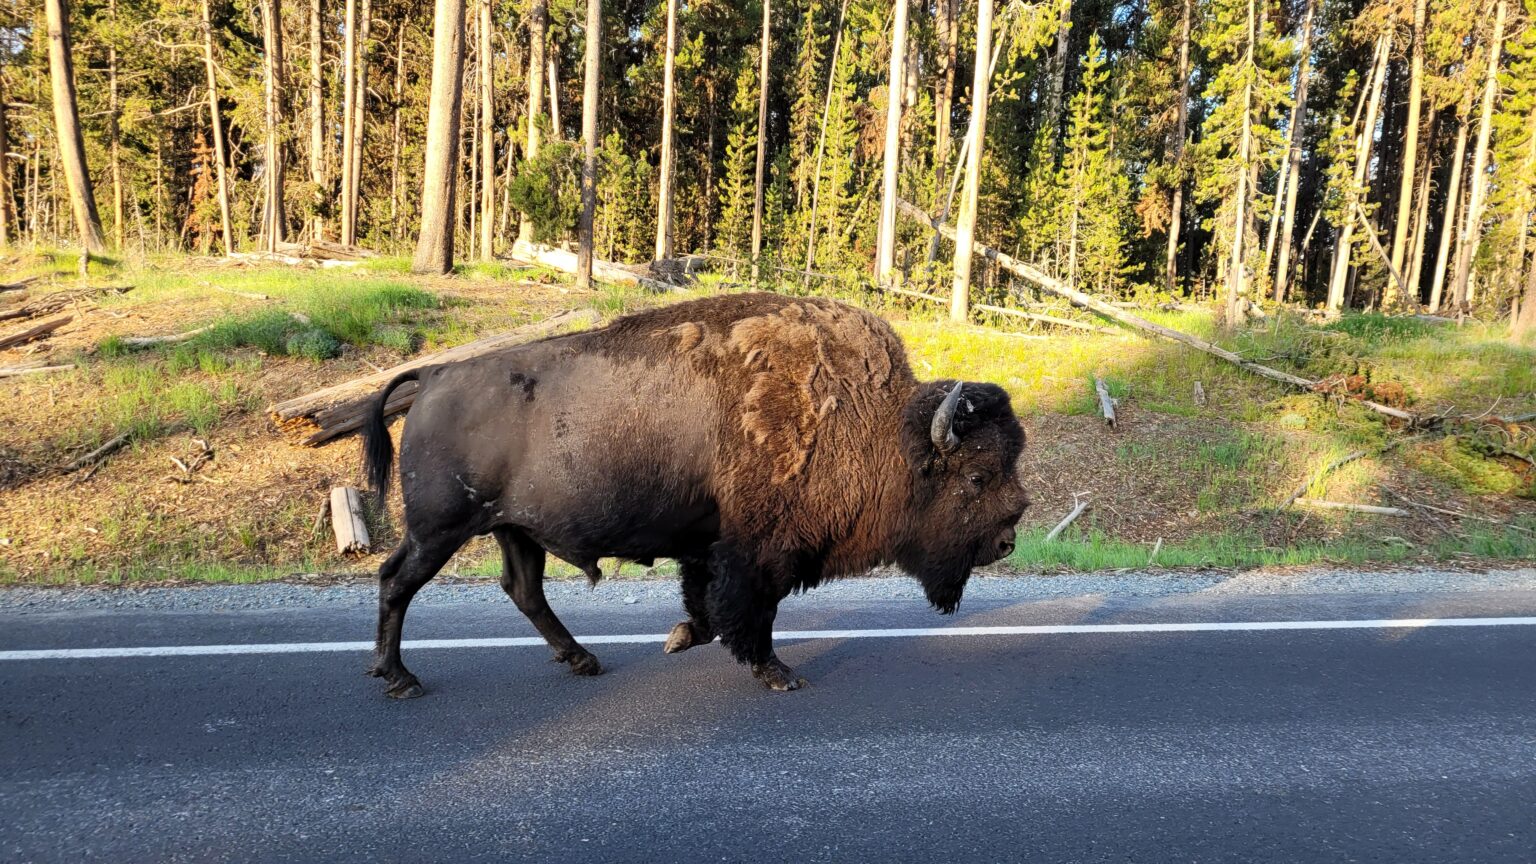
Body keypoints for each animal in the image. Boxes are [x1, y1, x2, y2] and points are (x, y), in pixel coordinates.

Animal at [360, 289, 1026, 691]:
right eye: (976, 477)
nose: (1007, 539)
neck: (873, 424)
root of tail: (434, 376)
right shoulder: (758, 552)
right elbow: (752, 611)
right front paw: (778, 673)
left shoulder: (706, 547)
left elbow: (706, 607)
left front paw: (678, 639)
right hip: (441, 528)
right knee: (397, 580)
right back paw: (398, 678)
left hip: (512, 528)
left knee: (523, 590)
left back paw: (582, 660)